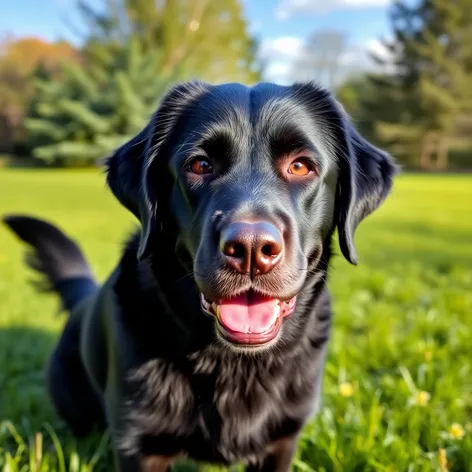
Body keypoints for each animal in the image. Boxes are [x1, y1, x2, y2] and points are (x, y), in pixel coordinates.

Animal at [3, 79, 396, 470]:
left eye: (300, 167)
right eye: (200, 164)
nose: (250, 249)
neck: (233, 364)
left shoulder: (282, 440)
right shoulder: (139, 446)